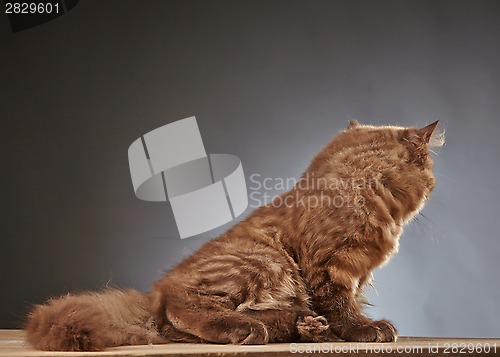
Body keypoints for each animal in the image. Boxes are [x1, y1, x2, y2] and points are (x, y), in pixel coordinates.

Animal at [25, 120, 444, 350]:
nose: (433, 185)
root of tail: (152, 293)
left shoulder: (357, 273)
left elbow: (348, 302)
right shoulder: (332, 267)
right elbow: (342, 305)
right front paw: (365, 330)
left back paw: (305, 326)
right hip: (263, 259)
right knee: (186, 312)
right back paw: (253, 330)